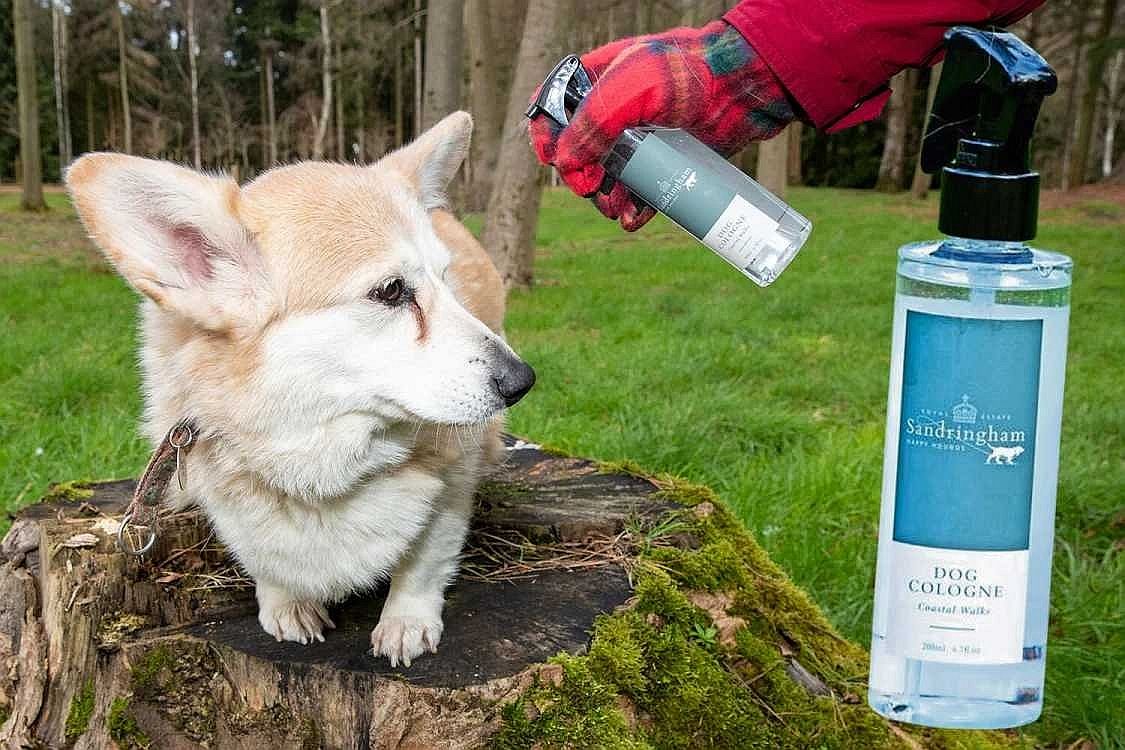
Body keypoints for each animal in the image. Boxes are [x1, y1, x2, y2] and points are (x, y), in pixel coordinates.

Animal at [63, 113, 533, 670]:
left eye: (447, 282)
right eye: (391, 291)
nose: (523, 381)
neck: (323, 459)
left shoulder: (452, 486)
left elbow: (423, 558)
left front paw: (405, 621)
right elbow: (262, 557)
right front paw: (284, 602)